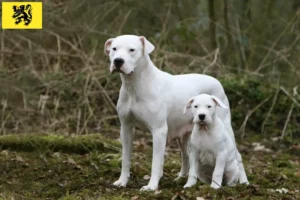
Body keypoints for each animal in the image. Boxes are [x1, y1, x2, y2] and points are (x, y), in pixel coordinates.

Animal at [104, 34, 247, 191]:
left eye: (132, 50)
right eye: (114, 49)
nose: (118, 61)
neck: (134, 85)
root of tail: (217, 81)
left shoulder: (158, 130)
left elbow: (156, 161)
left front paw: (151, 186)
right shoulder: (126, 127)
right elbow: (125, 157)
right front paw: (122, 181)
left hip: (226, 127)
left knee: (237, 156)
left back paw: (243, 181)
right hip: (184, 134)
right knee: (186, 155)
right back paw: (182, 177)